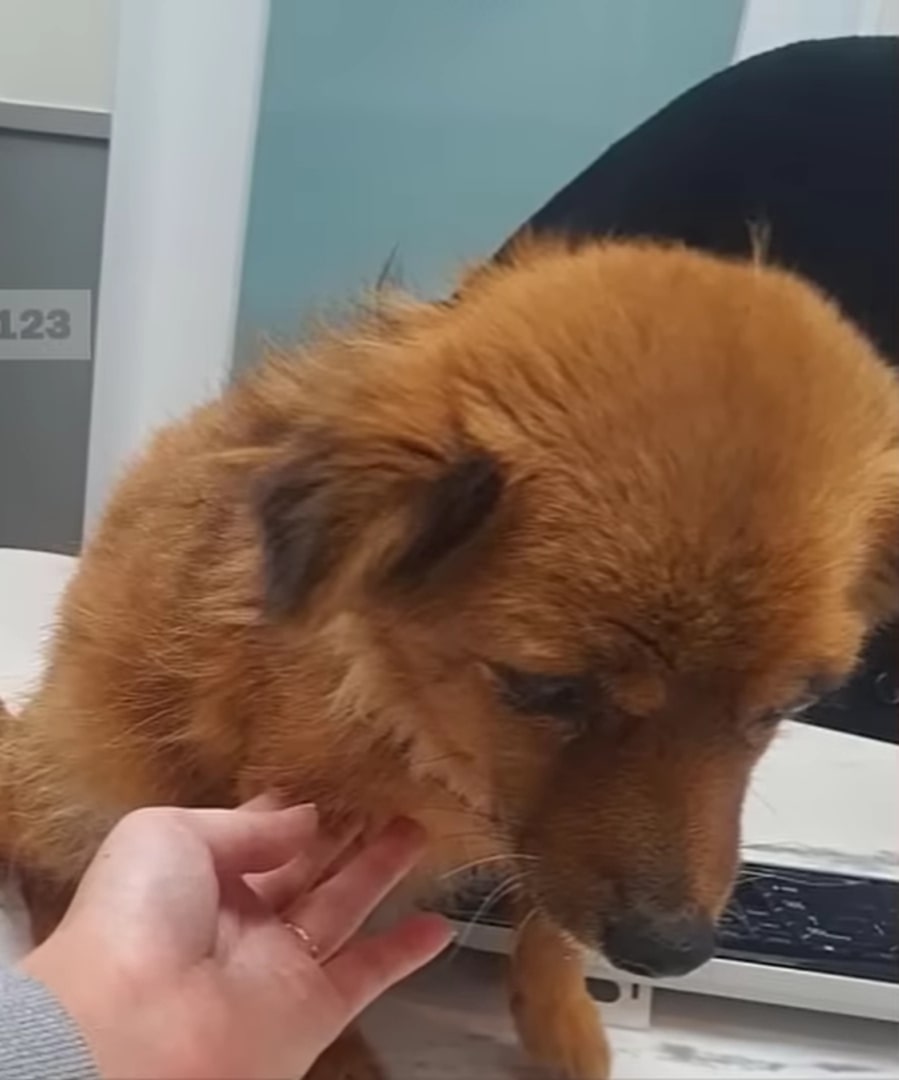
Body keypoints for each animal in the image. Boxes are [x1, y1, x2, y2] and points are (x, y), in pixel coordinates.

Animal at [1, 238, 899, 1080]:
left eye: (786, 706)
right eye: (547, 689)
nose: (668, 949)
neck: (428, 736)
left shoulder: (545, 848)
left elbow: (548, 919)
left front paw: (560, 1019)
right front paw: (334, 1057)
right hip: (97, 781)